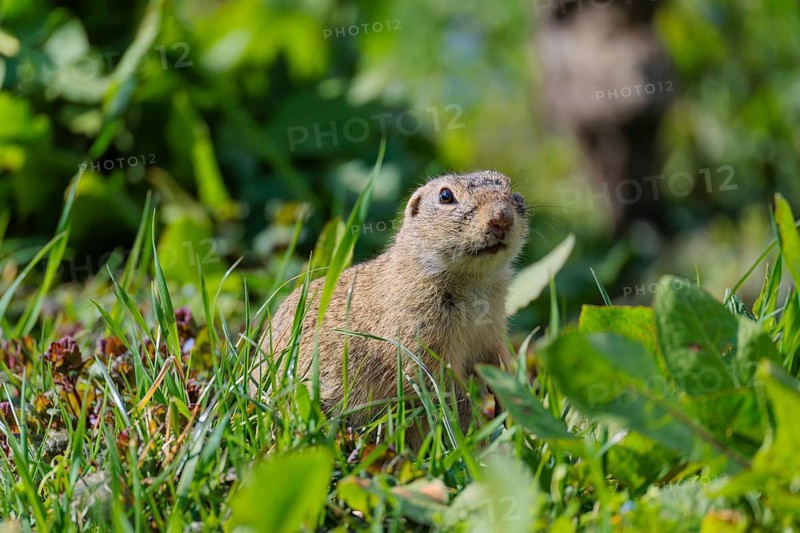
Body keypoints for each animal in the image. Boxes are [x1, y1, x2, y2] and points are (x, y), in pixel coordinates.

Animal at [254, 170, 529, 445]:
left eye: (510, 188)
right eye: (445, 196)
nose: (502, 217)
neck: (474, 280)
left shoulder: (491, 330)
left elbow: (497, 360)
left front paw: (511, 398)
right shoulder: (419, 339)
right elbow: (441, 387)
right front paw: (474, 434)